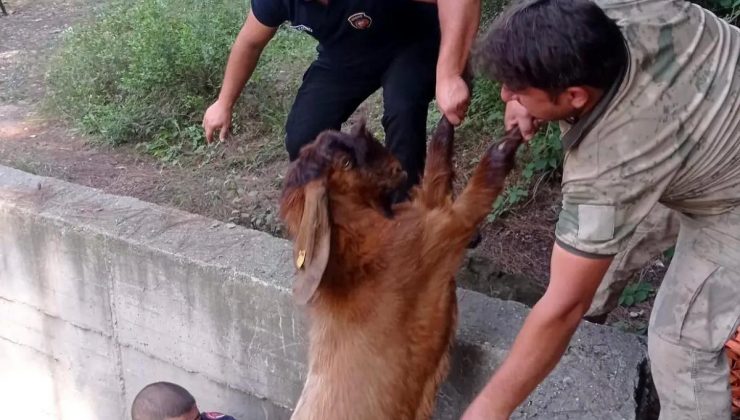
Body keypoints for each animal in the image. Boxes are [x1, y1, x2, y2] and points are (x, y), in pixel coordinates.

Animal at [278, 115, 528, 420]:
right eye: (346, 162)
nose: (396, 167)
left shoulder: (420, 214)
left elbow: (435, 176)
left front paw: (446, 121)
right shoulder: (434, 235)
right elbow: (472, 198)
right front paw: (508, 142)